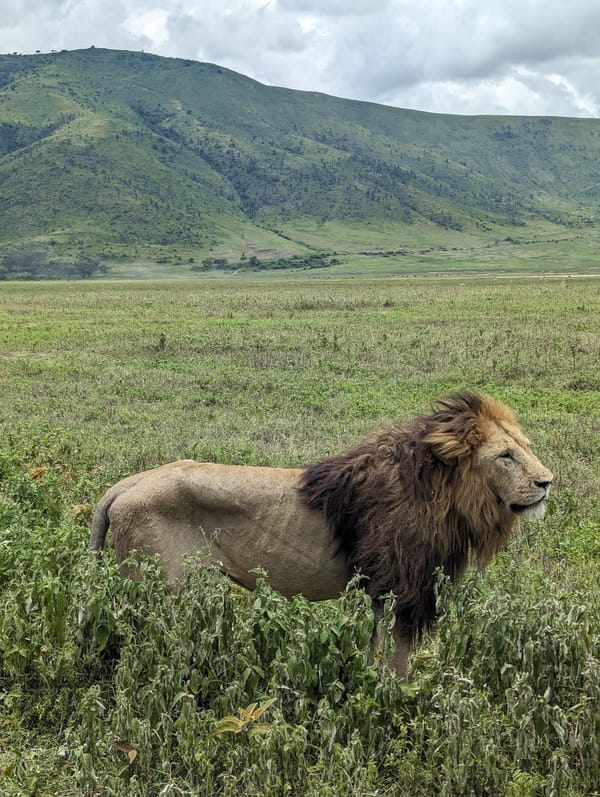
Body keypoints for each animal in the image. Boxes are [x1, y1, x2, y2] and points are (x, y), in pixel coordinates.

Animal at [90, 391, 553, 677]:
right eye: (506, 456)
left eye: (526, 448)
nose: (548, 482)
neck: (445, 495)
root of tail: (125, 484)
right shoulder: (401, 588)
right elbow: (397, 659)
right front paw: (396, 697)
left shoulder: (382, 590)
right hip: (163, 589)